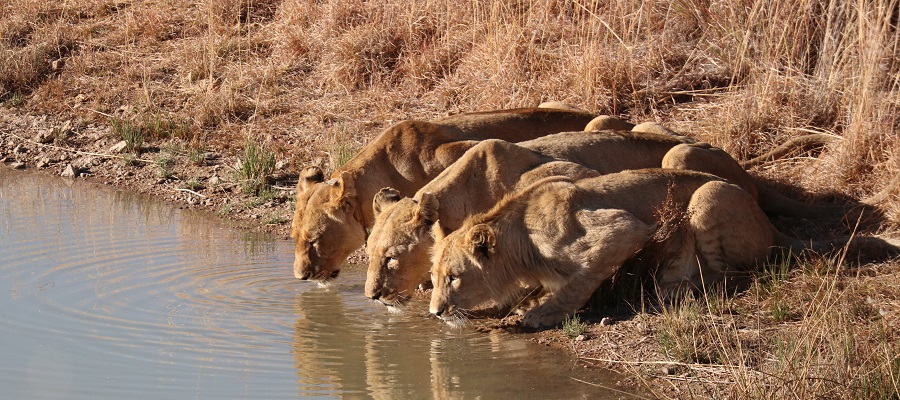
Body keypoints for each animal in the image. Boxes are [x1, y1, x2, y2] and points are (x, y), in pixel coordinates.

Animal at [428, 169, 892, 328]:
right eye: (432, 278)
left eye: (454, 278)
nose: (432, 312)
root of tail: (772, 227)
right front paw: (510, 306)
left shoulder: (623, 230)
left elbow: (576, 283)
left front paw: (539, 315)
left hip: (707, 196)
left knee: (729, 275)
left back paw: (674, 287)